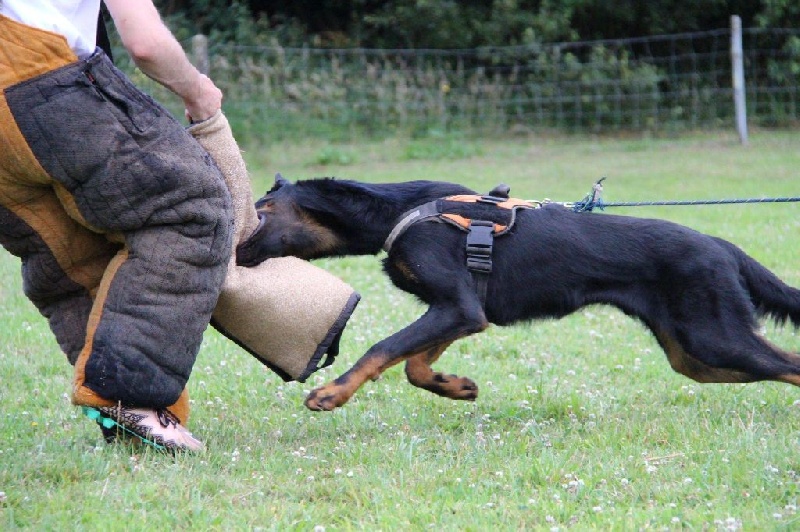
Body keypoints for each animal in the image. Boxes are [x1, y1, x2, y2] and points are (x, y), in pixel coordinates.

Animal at [238, 175, 800, 412]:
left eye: (261, 211)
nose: (232, 245)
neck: (398, 211)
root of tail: (723, 246)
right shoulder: (462, 311)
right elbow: (415, 364)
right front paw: (454, 386)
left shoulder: (458, 307)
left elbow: (383, 349)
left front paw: (332, 393)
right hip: (695, 354)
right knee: (777, 363)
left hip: (712, 336)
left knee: (786, 362)